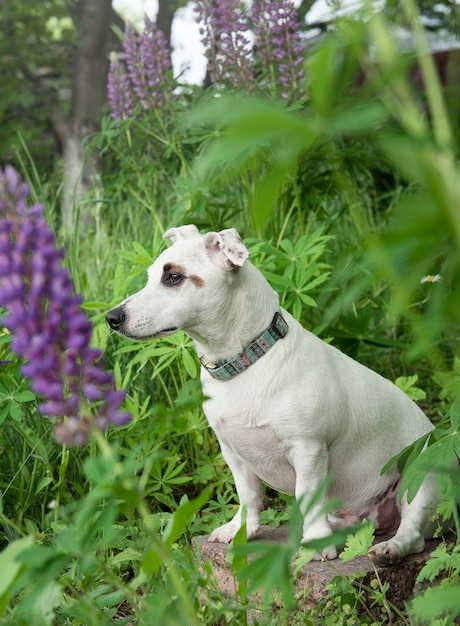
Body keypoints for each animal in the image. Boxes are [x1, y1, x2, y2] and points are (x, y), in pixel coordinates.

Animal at [106, 225, 444, 564]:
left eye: (174, 277)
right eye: (150, 276)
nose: (111, 318)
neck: (246, 361)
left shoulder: (308, 449)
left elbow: (307, 496)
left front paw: (315, 541)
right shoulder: (233, 451)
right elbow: (248, 494)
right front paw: (241, 528)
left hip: (420, 477)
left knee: (413, 532)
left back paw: (390, 548)